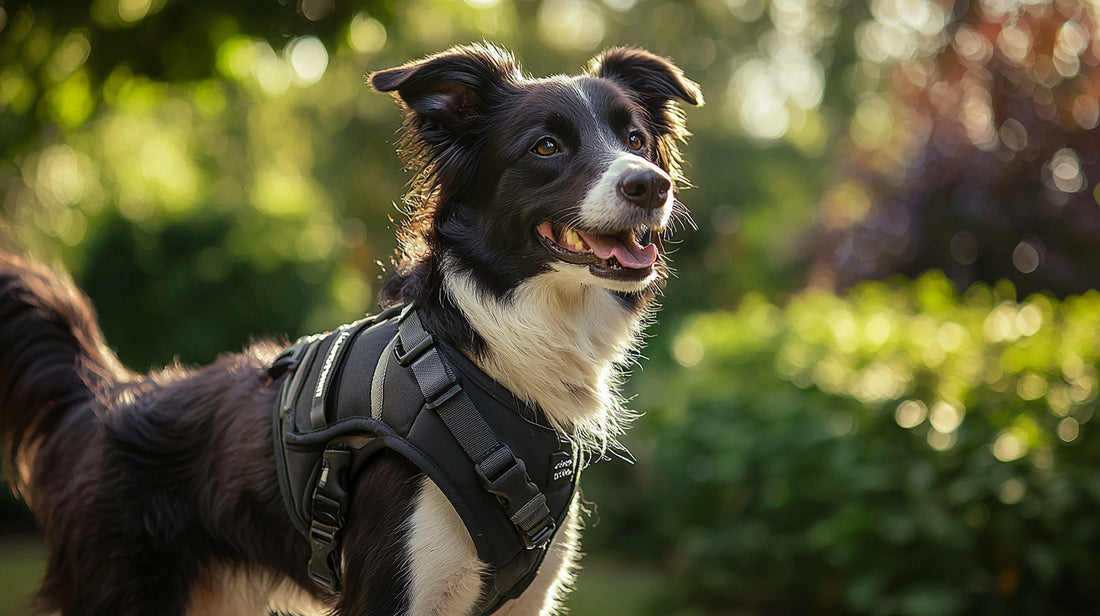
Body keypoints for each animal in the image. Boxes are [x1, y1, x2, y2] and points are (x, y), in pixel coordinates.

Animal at [0, 44, 699, 616]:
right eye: (546, 147)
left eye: (635, 139)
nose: (651, 185)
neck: (485, 358)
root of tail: (105, 396)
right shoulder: (392, 591)